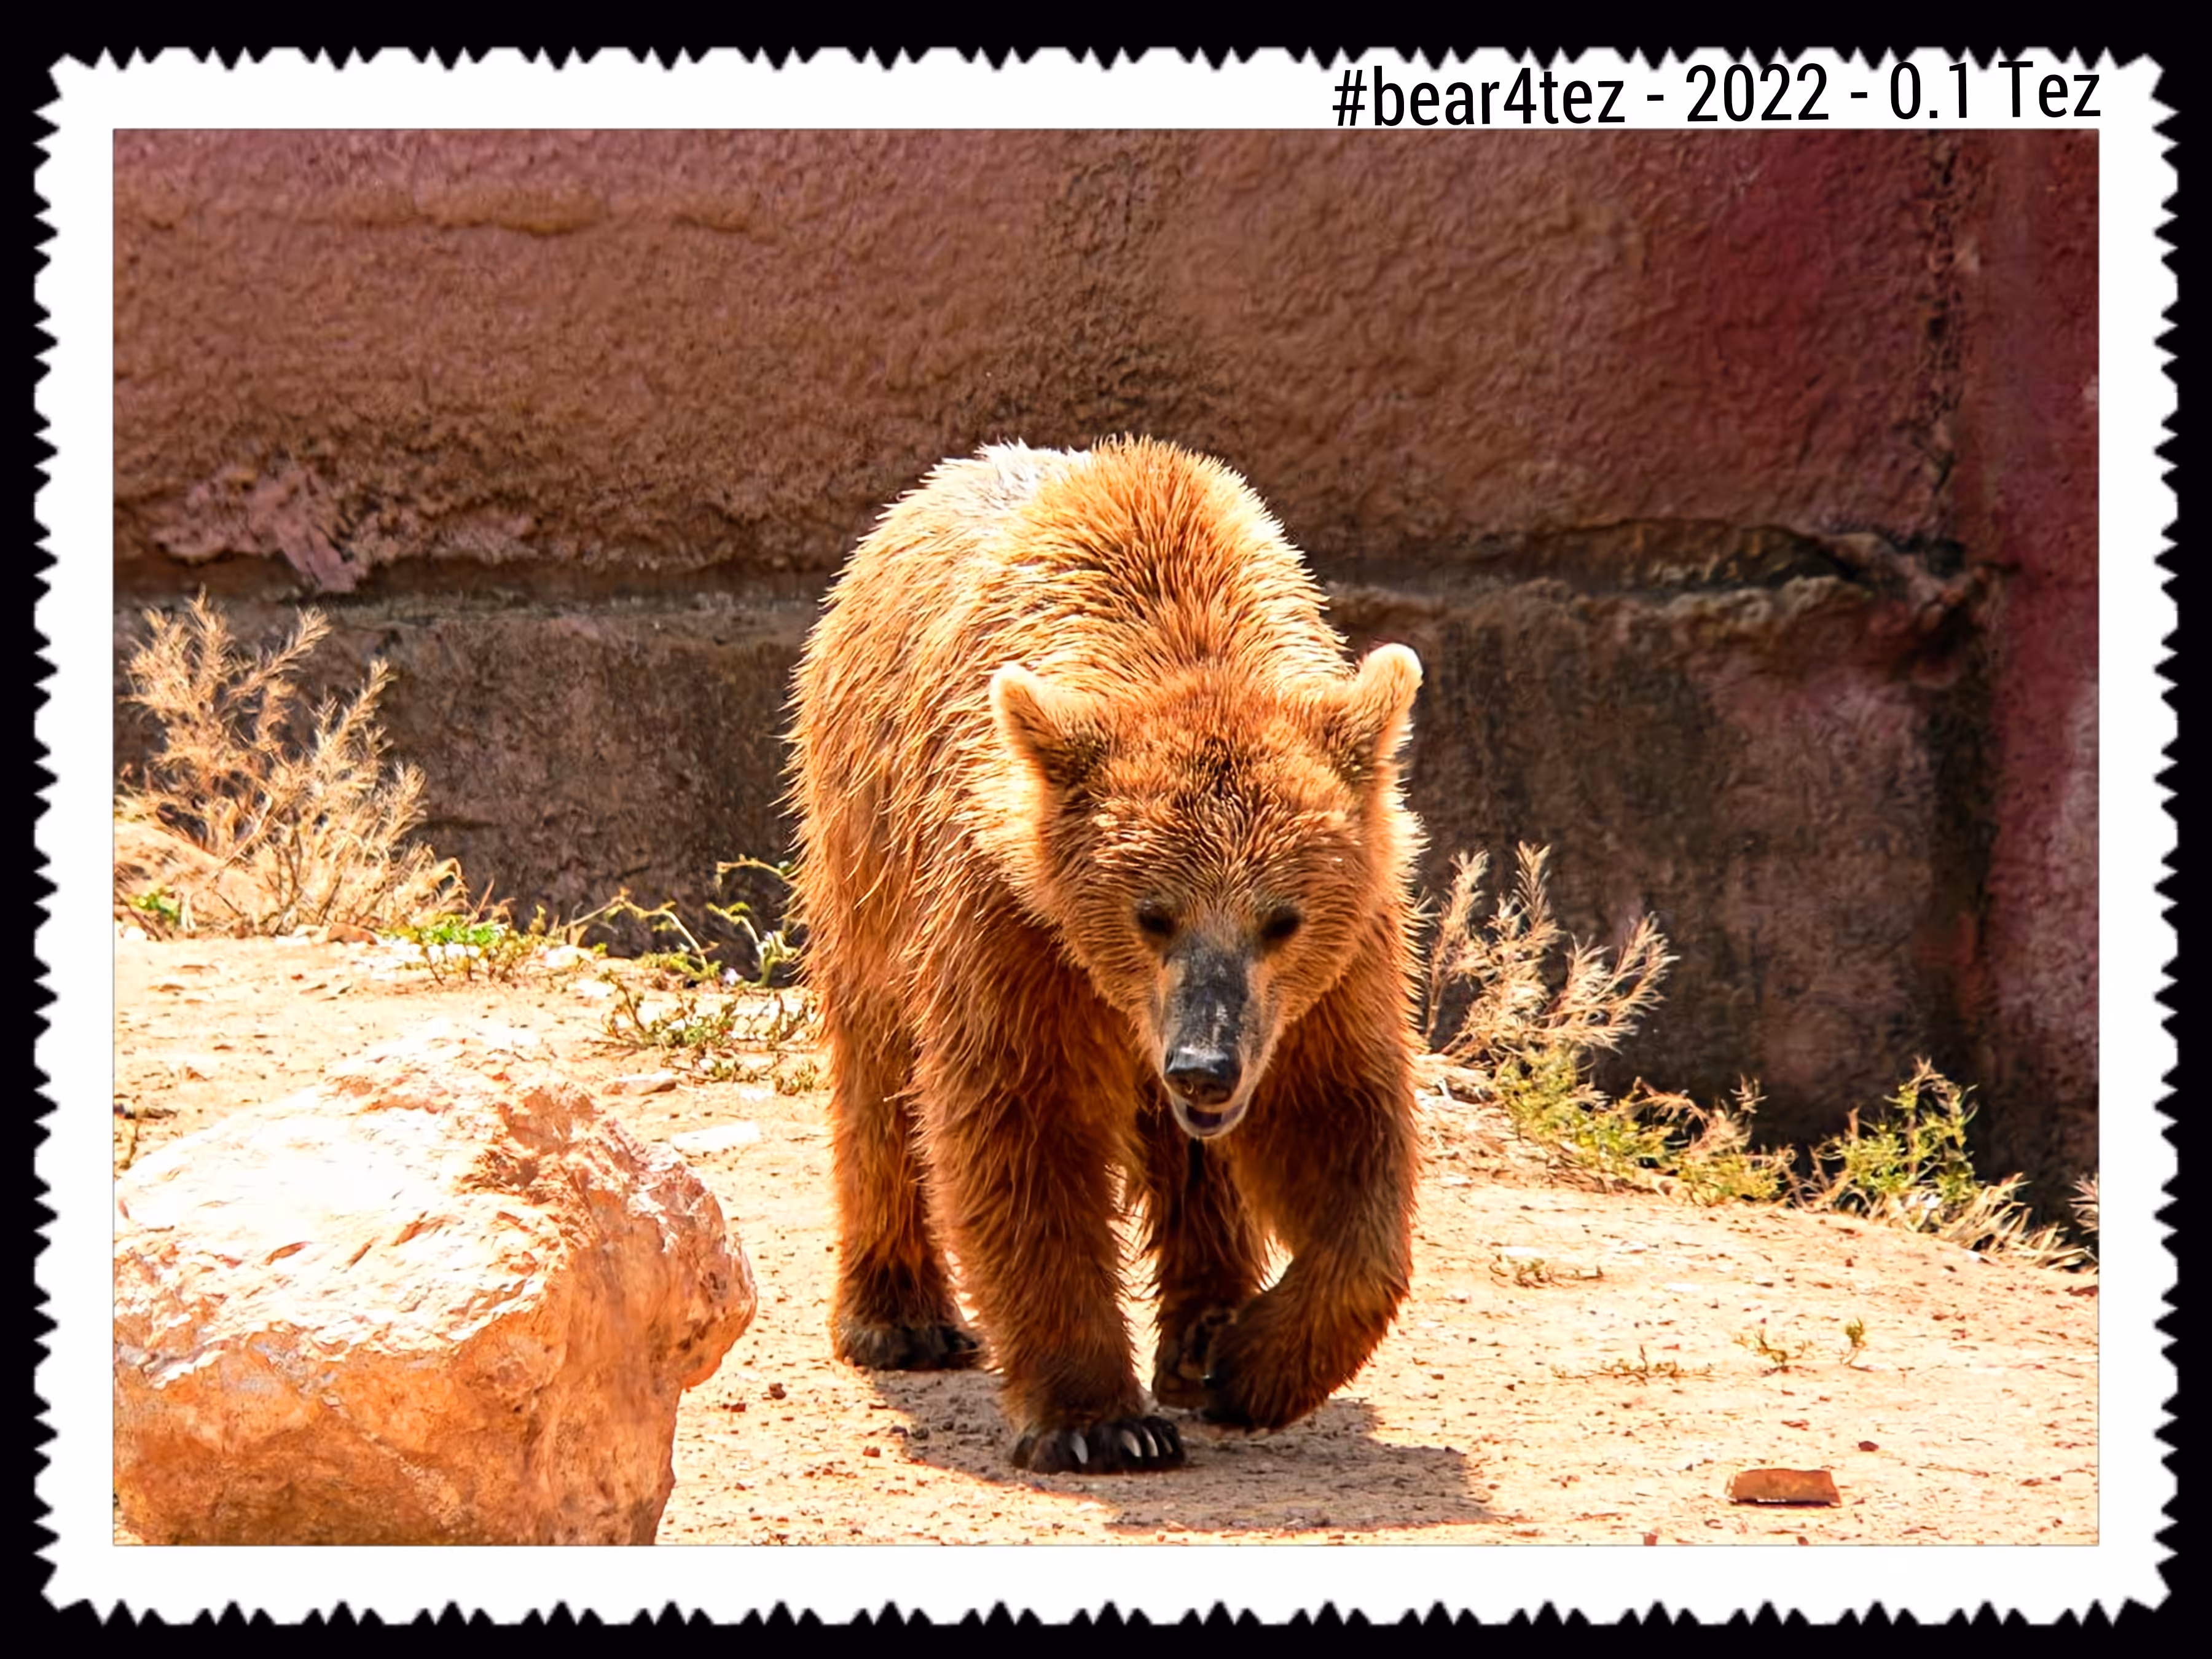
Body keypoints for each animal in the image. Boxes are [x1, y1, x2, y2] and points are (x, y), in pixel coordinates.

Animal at [786, 437, 1425, 1474]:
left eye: (1282, 919)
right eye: (1151, 915)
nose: (1204, 1064)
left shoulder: (1339, 961)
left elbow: (1337, 1124)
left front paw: (1253, 1363)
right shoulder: (1015, 919)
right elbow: (1023, 1126)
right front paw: (1101, 1422)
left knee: (1196, 1162)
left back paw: (1202, 1329)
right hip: (864, 848)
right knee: (880, 1071)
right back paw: (903, 1315)